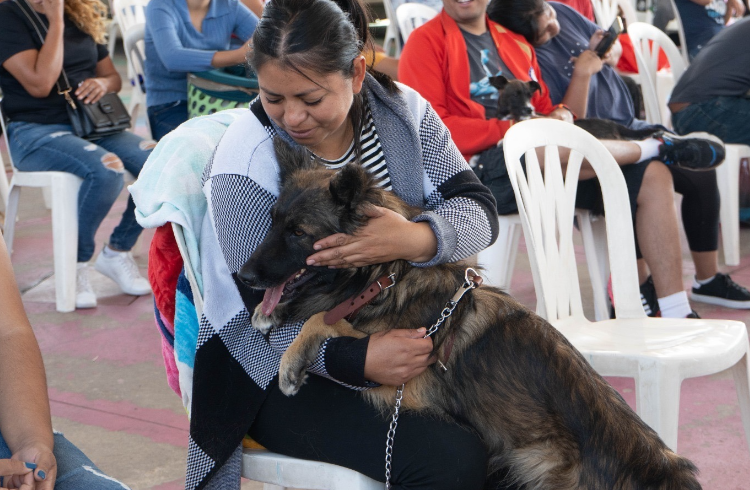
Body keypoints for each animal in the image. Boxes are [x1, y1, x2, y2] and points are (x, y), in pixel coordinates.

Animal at [238, 138, 701, 489]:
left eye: (299, 232)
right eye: (274, 221)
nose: (243, 275)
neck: (386, 275)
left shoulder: (399, 379)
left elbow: (324, 319)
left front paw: (291, 361)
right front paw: (269, 316)